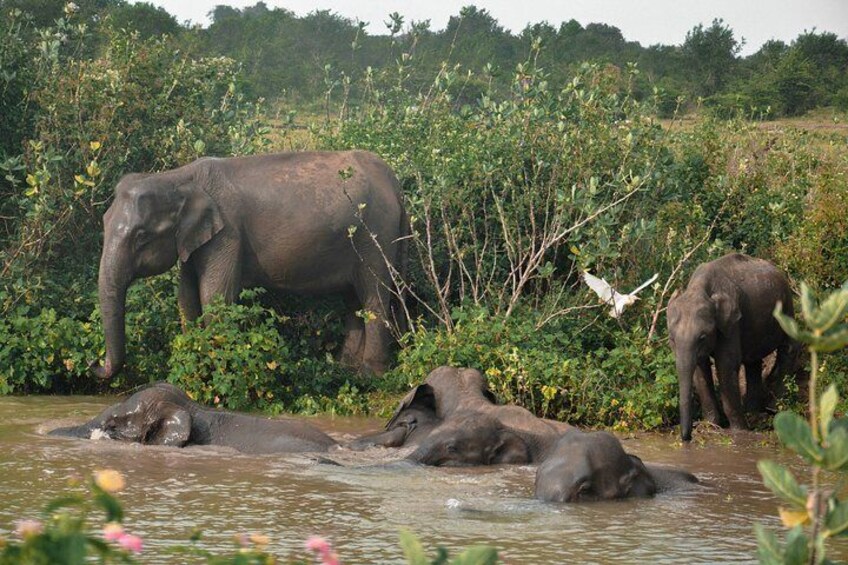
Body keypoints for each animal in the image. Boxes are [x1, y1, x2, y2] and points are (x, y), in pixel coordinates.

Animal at [93, 150, 410, 378]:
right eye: (104, 223)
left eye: (141, 237)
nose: (97, 365)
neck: (179, 177)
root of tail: (395, 183)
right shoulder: (195, 240)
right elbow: (186, 298)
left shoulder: (227, 234)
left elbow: (215, 296)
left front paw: (215, 369)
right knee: (353, 299)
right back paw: (346, 370)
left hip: (376, 234)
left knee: (374, 295)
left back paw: (370, 376)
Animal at [664, 253, 800, 442]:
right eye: (672, 339)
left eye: (702, 338)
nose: (686, 439)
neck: (699, 288)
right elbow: (700, 368)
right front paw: (711, 425)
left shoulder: (732, 323)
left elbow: (726, 365)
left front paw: (738, 431)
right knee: (753, 361)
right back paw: (752, 412)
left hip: (787, 303)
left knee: (788, 348)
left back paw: (772, 410)